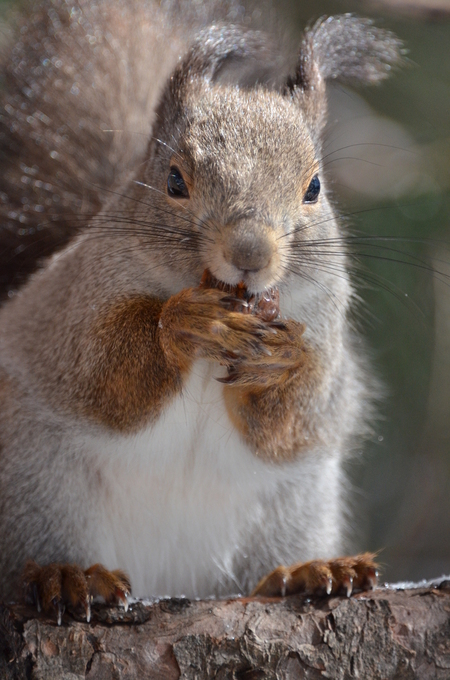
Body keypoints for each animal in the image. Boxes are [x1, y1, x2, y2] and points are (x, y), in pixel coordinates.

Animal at [0, 0, 400, 620]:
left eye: (314, 187)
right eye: (173, 180)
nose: (250, 254)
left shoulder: (325, 325)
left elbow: (294, 416)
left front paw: (281, 360)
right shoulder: (69, 309)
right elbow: (103, 375)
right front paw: (185, 325)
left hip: (294, 504)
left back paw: (306, 571)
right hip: (37, 484)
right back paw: (67, 577)